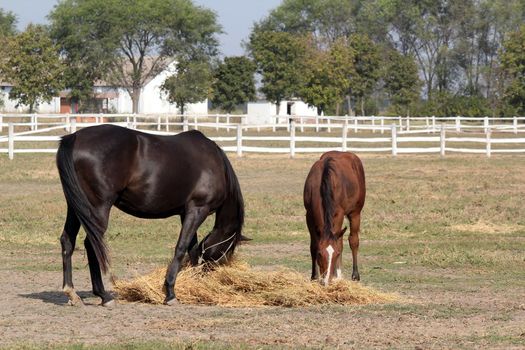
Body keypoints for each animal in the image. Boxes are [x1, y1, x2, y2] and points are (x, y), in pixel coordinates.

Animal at [56, 124, 245, 304]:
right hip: (98, 208)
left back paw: (72, 292)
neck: (215, 163)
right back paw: (104, 295)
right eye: (227, 251)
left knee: (67, 240)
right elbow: (181, 247)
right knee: (92, 244)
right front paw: (170, 292)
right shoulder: (198, 209)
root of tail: (74, 137)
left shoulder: (187, 213)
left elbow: (192, 248)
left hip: (76, 207)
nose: (212, 270)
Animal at [302, 150, 364, 284]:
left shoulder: (339, 214)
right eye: (320, 254)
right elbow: (313, 245)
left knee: (353, 240)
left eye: (336, 254)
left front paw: (336, 274)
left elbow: (340, 243)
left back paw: (353, 275)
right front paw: (314, 277)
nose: (326, 281)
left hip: (355, 213)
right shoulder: (309, 215)